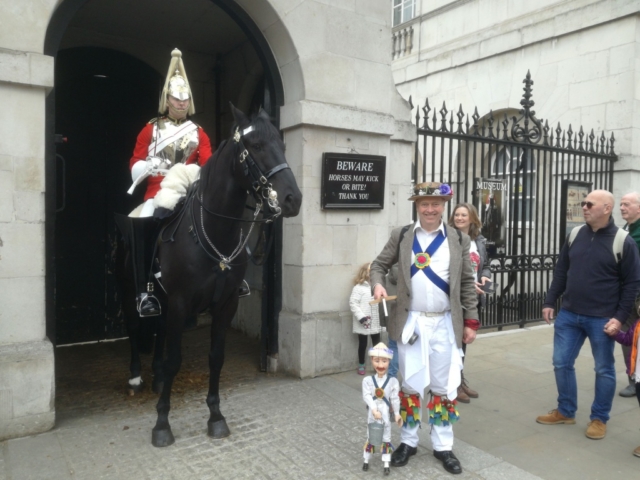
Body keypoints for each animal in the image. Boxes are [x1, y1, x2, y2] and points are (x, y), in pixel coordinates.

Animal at [116, 104, 302, 446]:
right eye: (256, 146)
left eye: (282, 145)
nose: (292, 199)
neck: (215, 231)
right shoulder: (179, 303)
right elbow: (175, 360)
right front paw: (162, 423)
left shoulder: (226, 303)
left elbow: (216, 357)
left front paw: (215, 416)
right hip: (127, 290)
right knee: (135, 329)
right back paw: (136, 376)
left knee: (158, 332)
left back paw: (156, 376)